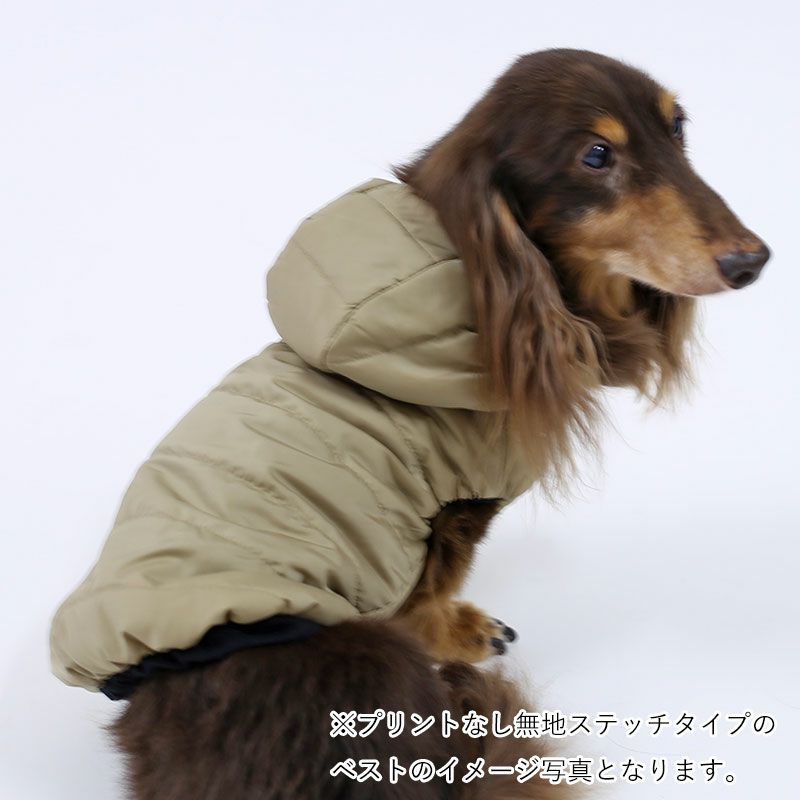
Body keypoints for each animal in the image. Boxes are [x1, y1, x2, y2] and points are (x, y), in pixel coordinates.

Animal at [52, 49, 769, 799]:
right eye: (596, 155)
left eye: (677, 126)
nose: (751, 260)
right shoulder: (453, 505)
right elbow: (432, 588)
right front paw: (458, 631)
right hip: (361, 660)